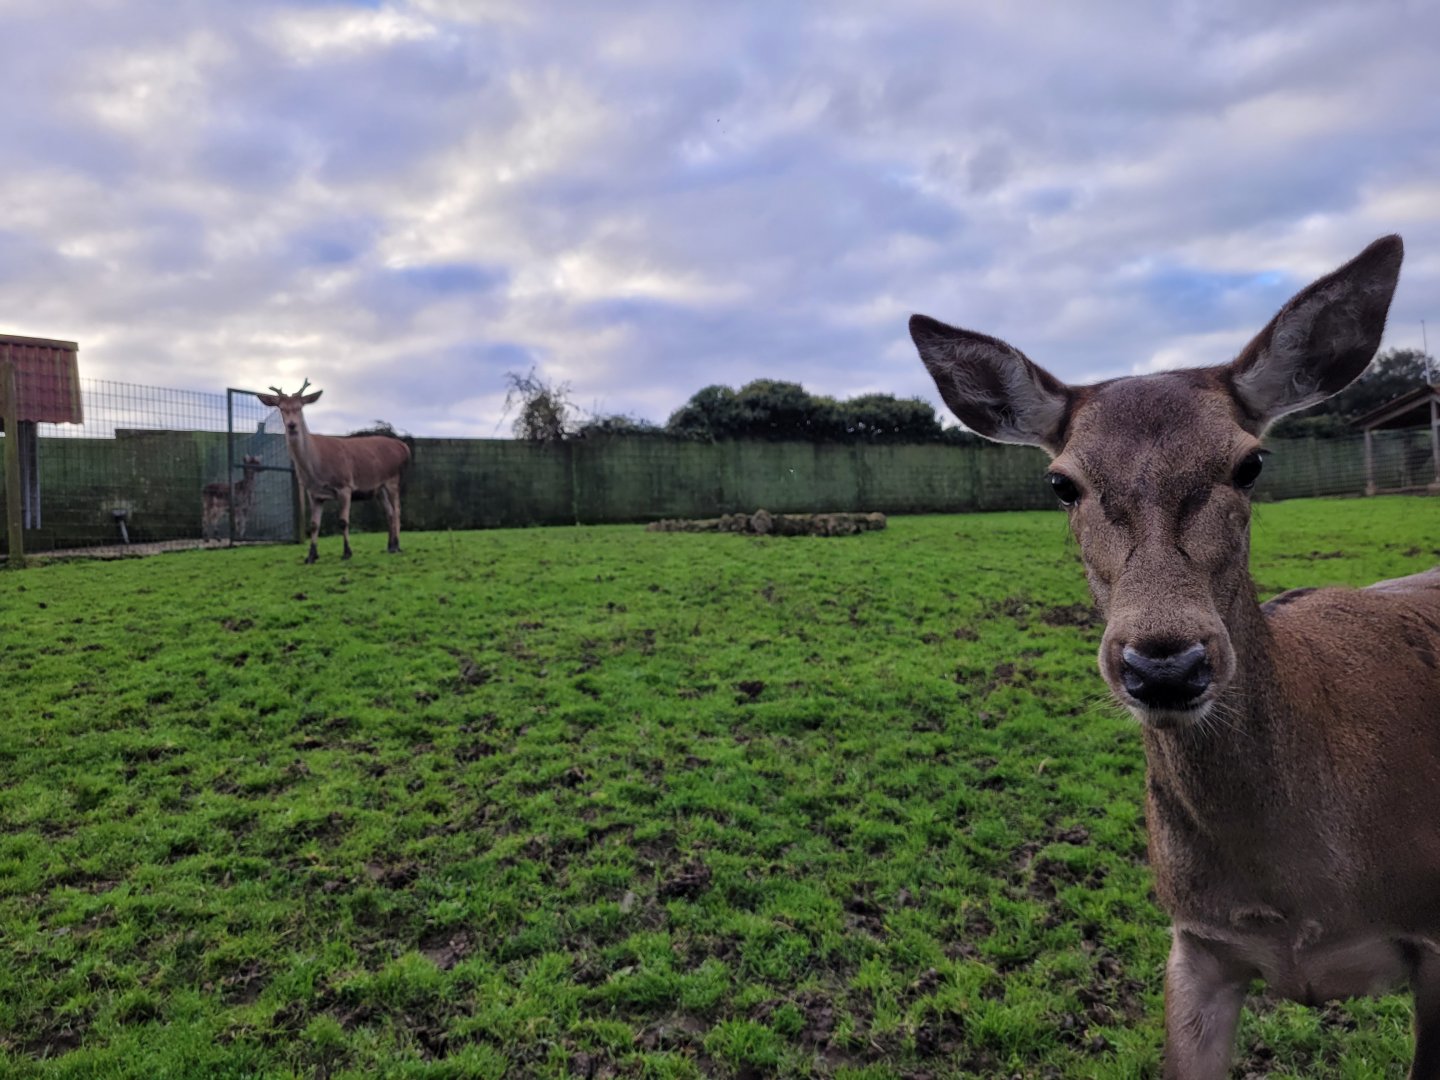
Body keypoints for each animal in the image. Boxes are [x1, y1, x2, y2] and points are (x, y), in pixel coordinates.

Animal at [255, 381, 410, 563]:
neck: (315, 470)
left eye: (300, 407)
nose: (292, 425)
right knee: (389, 512)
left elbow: (343, 521)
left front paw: (347, 552)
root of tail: (403, 447)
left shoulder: (345, 485)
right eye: (281, 408)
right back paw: (390, 546)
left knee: (398, 510)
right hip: (379, 488)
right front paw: (311, 556)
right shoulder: (314, 493)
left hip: (393, 479)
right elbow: (314, 525)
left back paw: (397, 545)